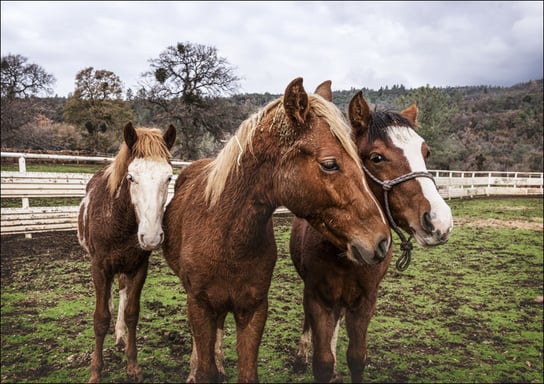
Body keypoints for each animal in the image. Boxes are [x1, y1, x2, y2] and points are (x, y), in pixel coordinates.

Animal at [77, 122, 175, 380]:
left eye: (169, 177)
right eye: (131, 177)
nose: (151, 237)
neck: (119, 221)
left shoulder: (138, 268)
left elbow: (132, 313)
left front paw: (133, 366)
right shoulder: (99, 267)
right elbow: (100, 318)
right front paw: (95, 372)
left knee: (121, 292)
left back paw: (120, 335)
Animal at [162, 77, 392, 380]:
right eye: (330, 164)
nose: (381, 240)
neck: (225, 236)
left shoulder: (253, 310)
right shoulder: (200, 306)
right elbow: (205, 368)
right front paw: (202, 369)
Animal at [292, 91, 452, 382]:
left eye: (426, 152)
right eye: (376, 158)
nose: (439, 221)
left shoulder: (365, 301)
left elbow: (356, 358)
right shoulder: (317, 297)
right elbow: (321, 362)